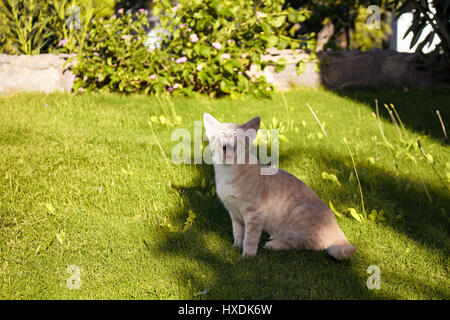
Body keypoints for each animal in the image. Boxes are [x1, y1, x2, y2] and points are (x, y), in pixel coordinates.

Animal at [203, 112, 356, 260]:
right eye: (223, 132)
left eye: (236, 134)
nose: (228, 136)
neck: (228, 172)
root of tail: (336, 227)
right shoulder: (235, 214)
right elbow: (238, 233)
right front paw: (236, 247)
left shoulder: (255, 213)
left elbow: (250, 238)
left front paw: (247, 256)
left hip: (297, 211)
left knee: (303, 245)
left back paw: (275, 244)